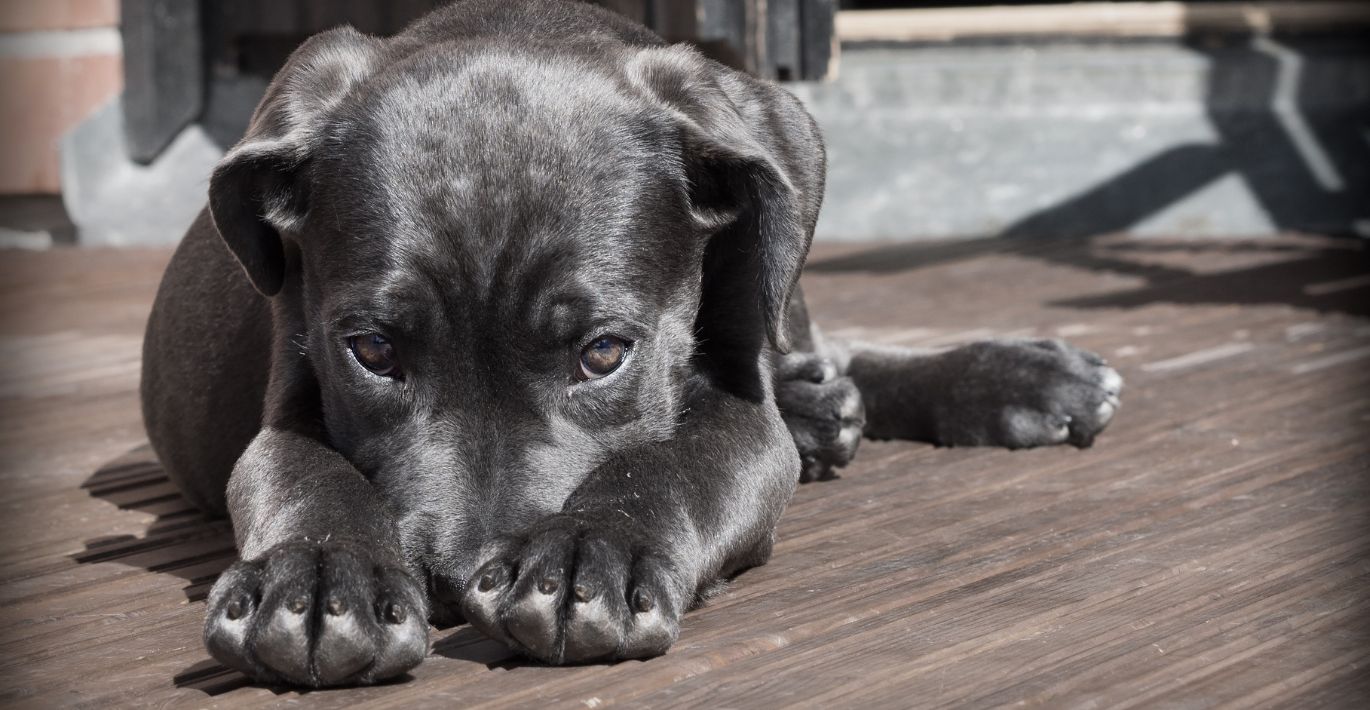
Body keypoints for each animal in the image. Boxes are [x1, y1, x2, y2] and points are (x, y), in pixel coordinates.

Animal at [141, 0, 1123, 690]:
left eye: (605, 354)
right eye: (373, 352)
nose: (457, 581)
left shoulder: (737, 406)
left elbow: (676, 463)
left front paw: (590, 553)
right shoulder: (291, 388)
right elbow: (303, 472)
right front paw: (316, 580)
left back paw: (1015, 378)